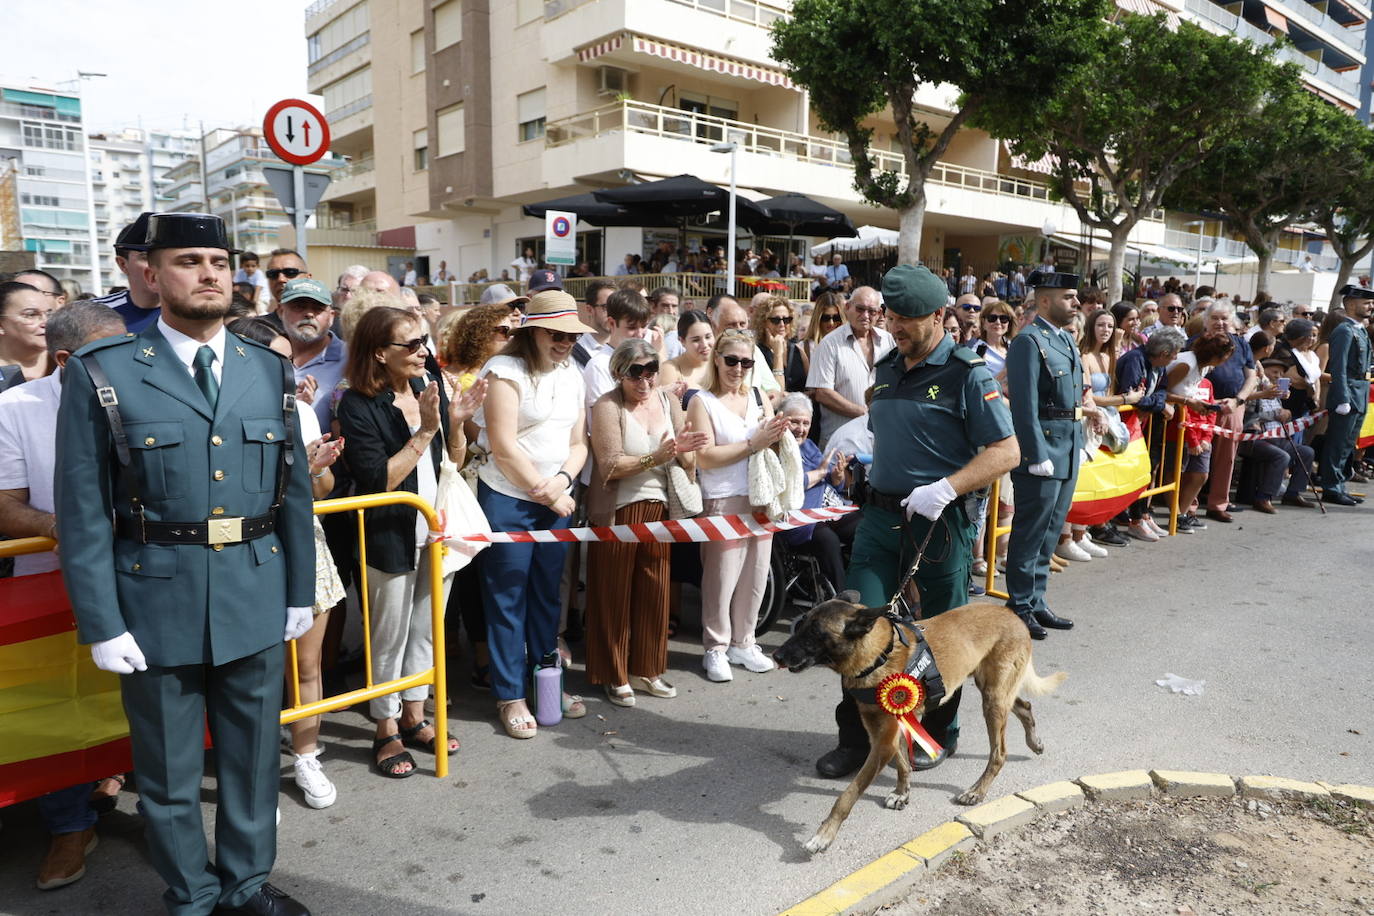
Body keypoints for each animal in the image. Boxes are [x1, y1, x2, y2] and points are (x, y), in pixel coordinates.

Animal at [774, 596, 1060, 851]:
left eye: (815, 632)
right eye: (799, 625)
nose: (776, 655)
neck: (878, 655)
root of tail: (1013, 615)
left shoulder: (883, 741)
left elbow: (848, 795)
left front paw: (824, 835)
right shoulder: (884, 732)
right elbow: (902, 762)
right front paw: (902, 792)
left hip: (993, 699)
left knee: (999, 752)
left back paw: (977, 791)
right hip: (993, 691)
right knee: (1025, 706)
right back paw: (1034, 742)